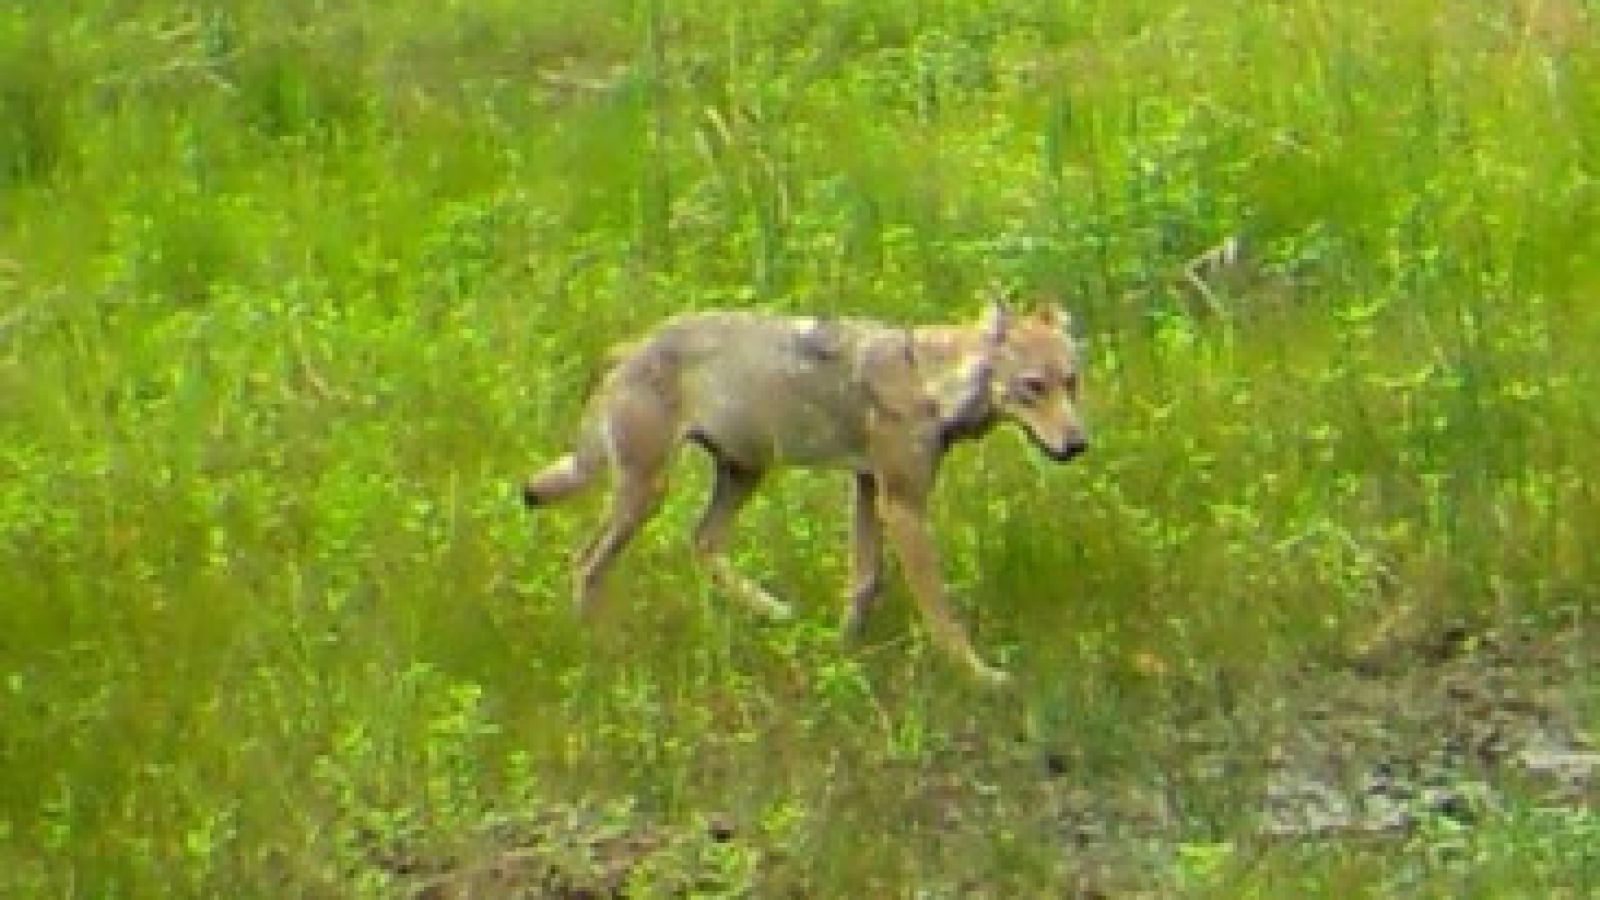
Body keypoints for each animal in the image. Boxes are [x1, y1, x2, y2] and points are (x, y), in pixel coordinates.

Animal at [522, 301, 1087, 686]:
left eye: (1071, 382)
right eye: (1033, 386)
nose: (1079, 445)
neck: (930, 383)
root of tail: (629, 346)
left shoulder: (868, 489)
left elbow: (863, 583)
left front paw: (840, 653)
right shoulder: (903, 507)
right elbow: (940, 613)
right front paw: (979, 675)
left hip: (743, 472)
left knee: (701, 544)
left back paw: (775, 612)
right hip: (648, 495)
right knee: (585, 564)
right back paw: (600, 653)